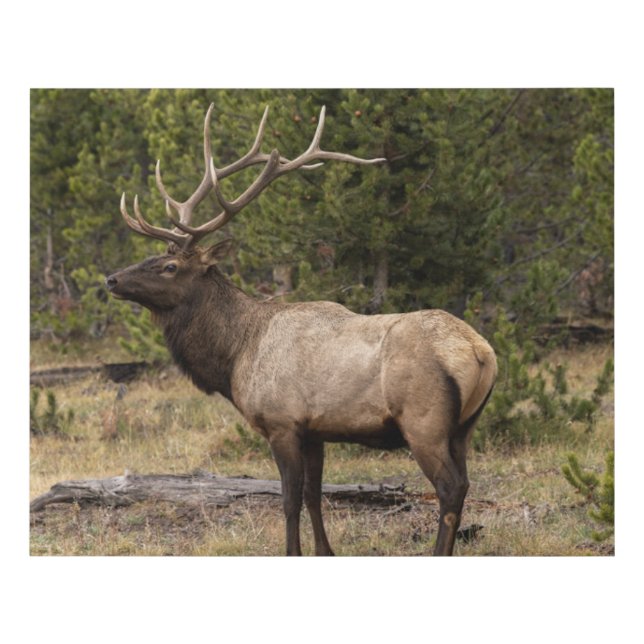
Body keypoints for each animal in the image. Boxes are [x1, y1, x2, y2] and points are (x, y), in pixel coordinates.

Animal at [105, 103, 497, 556]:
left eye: (170, 267)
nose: (111, 279)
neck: (236, 354)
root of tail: (481, 352)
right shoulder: (315, 430)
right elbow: (314, 494)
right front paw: (326, 551)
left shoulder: (282, 423)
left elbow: (289, 499)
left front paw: (292, 550)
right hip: (465, 427)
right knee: (465, 483)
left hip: (423, 420)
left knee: (449, 489)